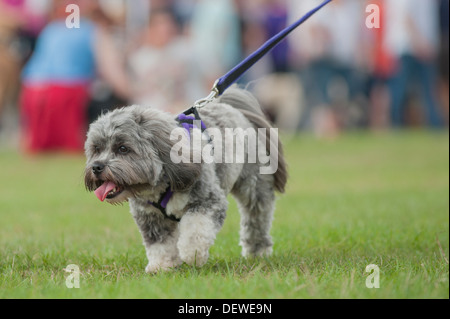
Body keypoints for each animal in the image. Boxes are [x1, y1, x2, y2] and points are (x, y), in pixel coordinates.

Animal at [84, 87, 286, 276]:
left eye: (123, 148)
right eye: (96, 148)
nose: (97, 167)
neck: (162, 184)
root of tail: (232, 109)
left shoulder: (208, 201)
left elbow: (196, 230)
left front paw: (192, 254)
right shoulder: (151, 217)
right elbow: (160, 244)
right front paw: (161, 266)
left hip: (254, 187)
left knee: (256, 219)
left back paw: (257, 253)